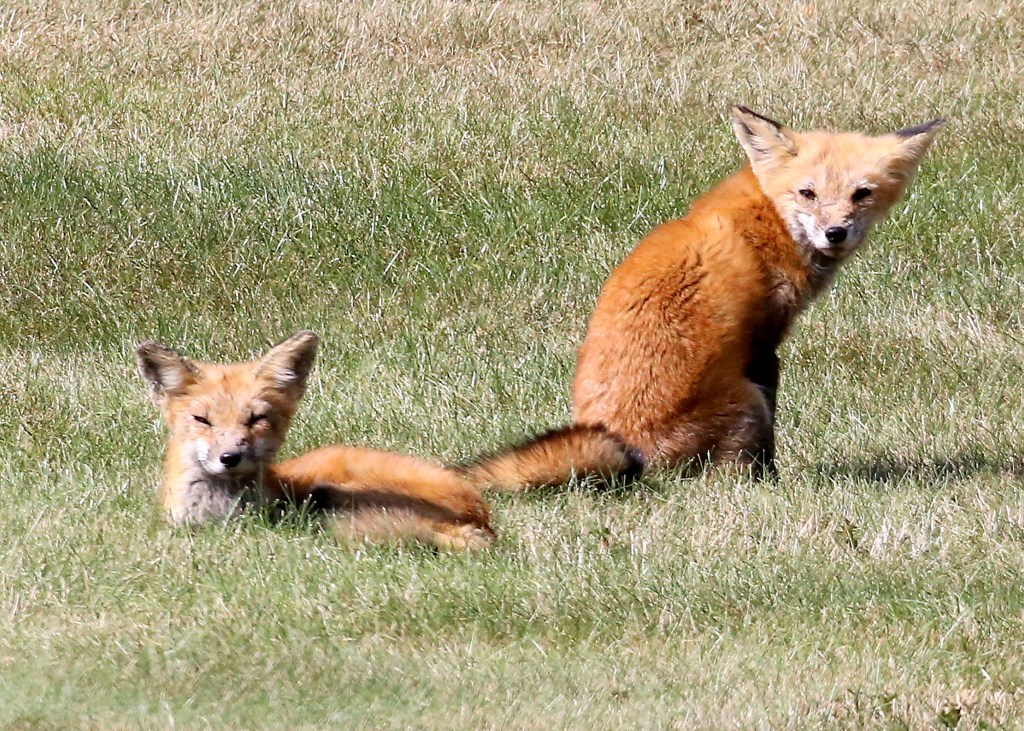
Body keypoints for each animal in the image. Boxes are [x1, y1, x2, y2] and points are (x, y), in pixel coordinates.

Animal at [466, 106, 944, 487]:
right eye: (808, 193)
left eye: (861, 194)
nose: (835, 233)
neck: (769, 219)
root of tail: (630, 450)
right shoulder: (762, 348)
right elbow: (771, 442)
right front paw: (774, 484)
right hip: (745, 406)